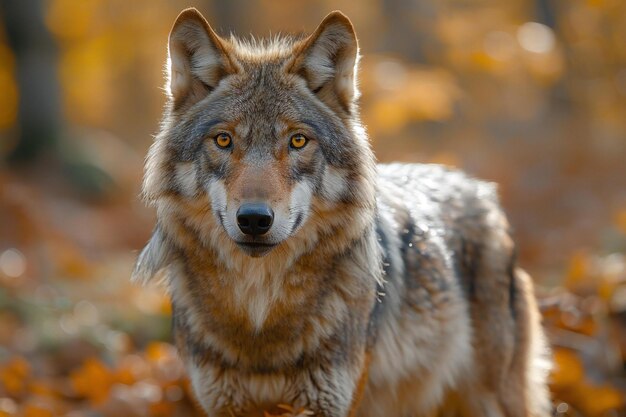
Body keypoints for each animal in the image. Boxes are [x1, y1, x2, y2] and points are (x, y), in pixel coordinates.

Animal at [133, 7, 552, 416]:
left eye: (298, 141)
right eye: (223, 140)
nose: (254, 219)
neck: (260, 315)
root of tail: (479, 189)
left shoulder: (328, 401)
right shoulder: (223, 404)